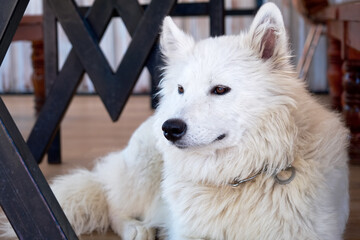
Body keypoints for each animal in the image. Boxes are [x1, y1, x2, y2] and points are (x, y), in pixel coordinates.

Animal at [0, 2, 348, 240]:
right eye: (181, 89)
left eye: (220, 89)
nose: (170, 128)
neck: (241, 177)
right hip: (142, 169)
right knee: (112, 203)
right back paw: (136, 228)